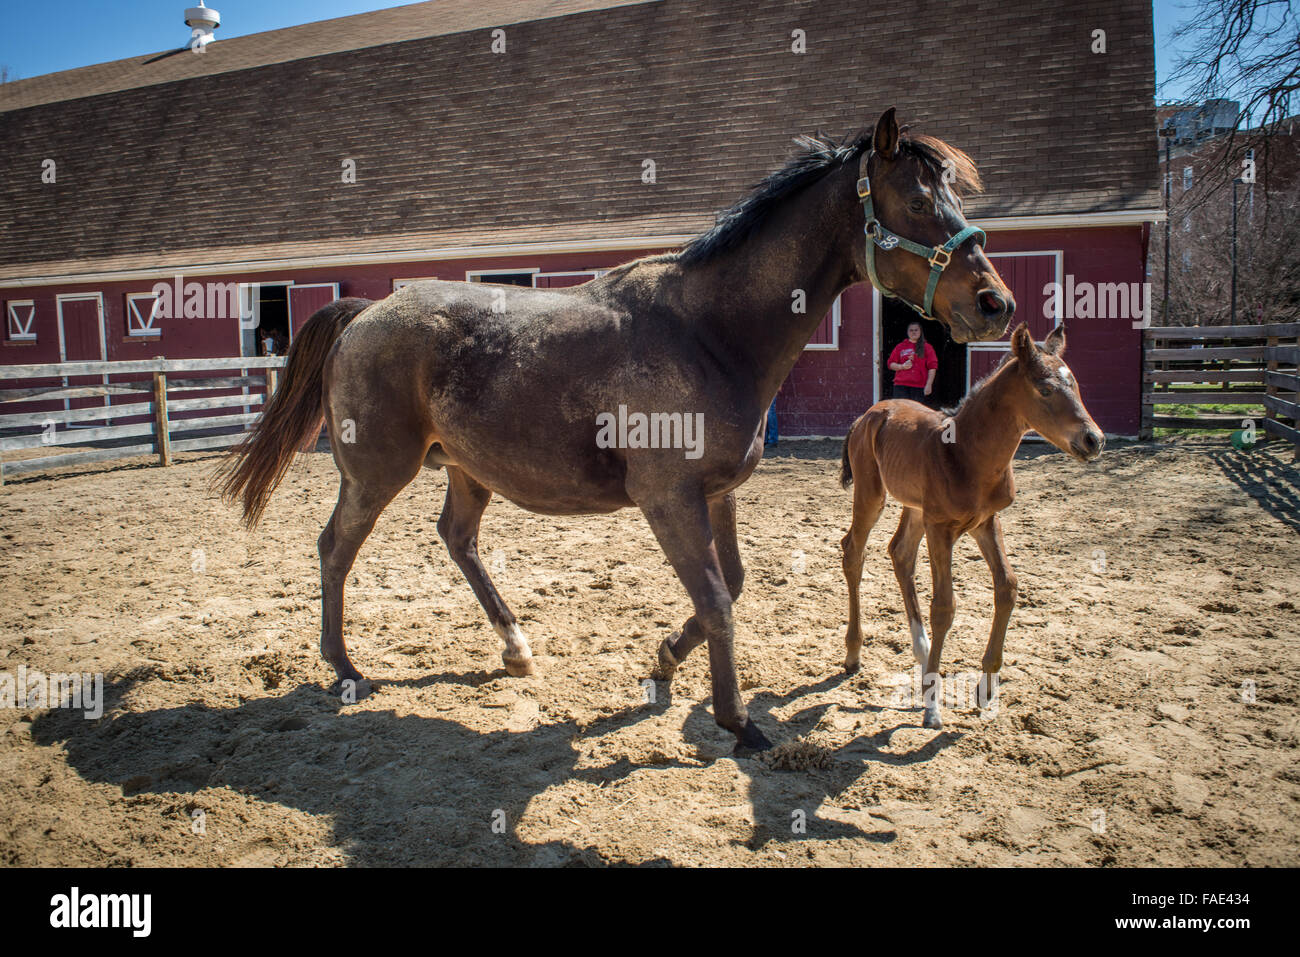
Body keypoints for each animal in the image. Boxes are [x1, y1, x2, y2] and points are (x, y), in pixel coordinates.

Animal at [218, 108, 1013, 754]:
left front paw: (663, 660)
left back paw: (515, 647)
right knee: (335, 548)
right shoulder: (669, 500)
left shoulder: (717, 493)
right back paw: (344, 666)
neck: (708, 332)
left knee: (456, 538)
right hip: (377, 471)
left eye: (955, 198)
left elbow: (729, 587)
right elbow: (716, 599)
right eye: (918, 200)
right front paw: (737, 722)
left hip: (467, 470)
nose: (995, 303)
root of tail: (367, 312)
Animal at [837, 325, 1102, 728]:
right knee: (854, 550)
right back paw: (855, 653)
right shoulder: (941, 527)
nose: (1094, 439)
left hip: (916, 507)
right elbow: (944, 606)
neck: (967, 454)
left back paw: (921, 653)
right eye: (1045, 389)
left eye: (1074, 383)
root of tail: (869, 413)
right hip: (873, 494)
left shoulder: (987, 522)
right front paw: (932, 705)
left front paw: (986, 689)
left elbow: (1007, 587)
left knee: (900, 553)